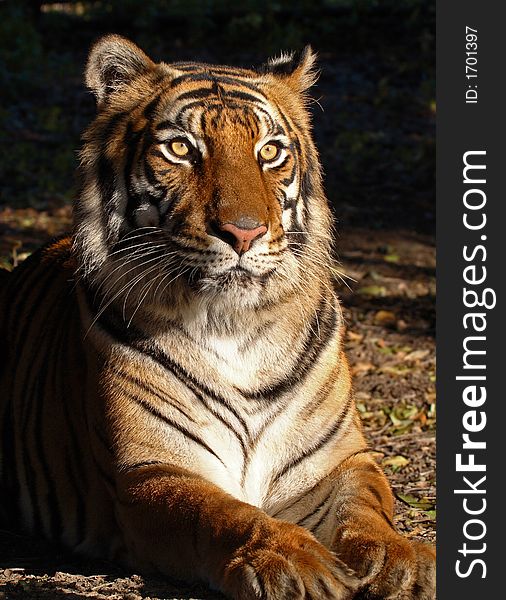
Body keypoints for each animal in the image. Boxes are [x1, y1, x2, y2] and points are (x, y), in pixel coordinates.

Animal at [0, 35, 434, 596]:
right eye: (182, 149)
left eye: (269, 151)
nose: (244, 232)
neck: (236, 324)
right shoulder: (153, 472)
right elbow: (221, 515)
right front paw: (293, 561)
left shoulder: (338, 462)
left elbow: (367, 513)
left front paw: (404, 562)